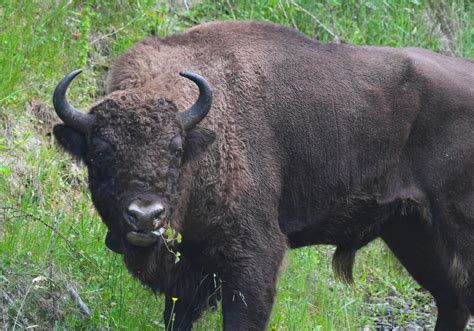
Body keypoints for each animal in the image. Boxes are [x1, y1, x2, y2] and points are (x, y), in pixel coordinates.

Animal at [53, 21, 472, 331]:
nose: (145, 215)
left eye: (175, 148)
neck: (205, 132)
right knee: (452, 299)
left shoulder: (253, 259)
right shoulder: (192, 271)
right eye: (99, 153)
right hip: (412, 232)